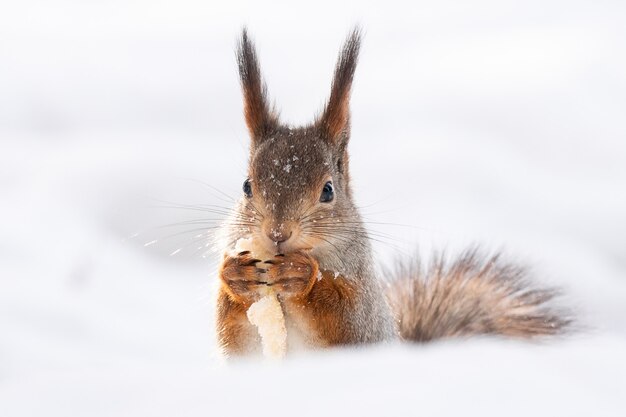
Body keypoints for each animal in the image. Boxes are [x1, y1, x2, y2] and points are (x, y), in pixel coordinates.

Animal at [212, 27, 568, 356]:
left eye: (328, 191)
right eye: (246, 186)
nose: (277, 233)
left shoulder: (365, 311)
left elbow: (345, 320)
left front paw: (302, 277)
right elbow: (233, 332)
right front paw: (235, 275)